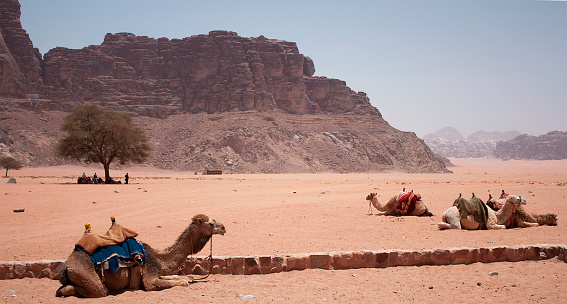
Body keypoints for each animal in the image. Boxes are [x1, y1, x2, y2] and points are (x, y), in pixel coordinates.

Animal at [56, 215, 226, 298]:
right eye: (210, 223)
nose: (223, 227)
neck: (158, 257)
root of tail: (66, 266)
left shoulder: (155, 271)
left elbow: (179, 277)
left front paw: (186, 278)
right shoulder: (149, 276)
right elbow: (178, 282)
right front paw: (184, 281)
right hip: (85, 274)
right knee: (99, 290)